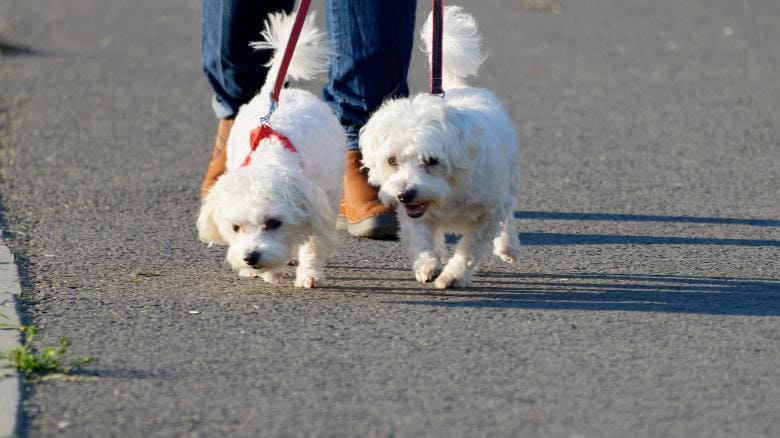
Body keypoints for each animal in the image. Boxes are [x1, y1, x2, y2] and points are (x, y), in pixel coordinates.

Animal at [197, 11, 342, 288]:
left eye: (274, 223)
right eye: (235, 227)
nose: (250, 257)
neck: (270, 153)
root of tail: (274, 94)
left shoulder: (322, 201)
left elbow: (314, 243)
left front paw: (309, 274)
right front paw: (267, 272)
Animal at [362, 6, 520, 290]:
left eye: (431, 161)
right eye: (392, 161)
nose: (405, 194)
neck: (449, 192)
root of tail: (456, 85)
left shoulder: (489, 213)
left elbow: (470, 248)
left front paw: (453, 275)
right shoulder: (414, 215)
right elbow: (421, 238)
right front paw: (427, 264)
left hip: (509, 179)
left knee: (510, 214)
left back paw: (508, 245)